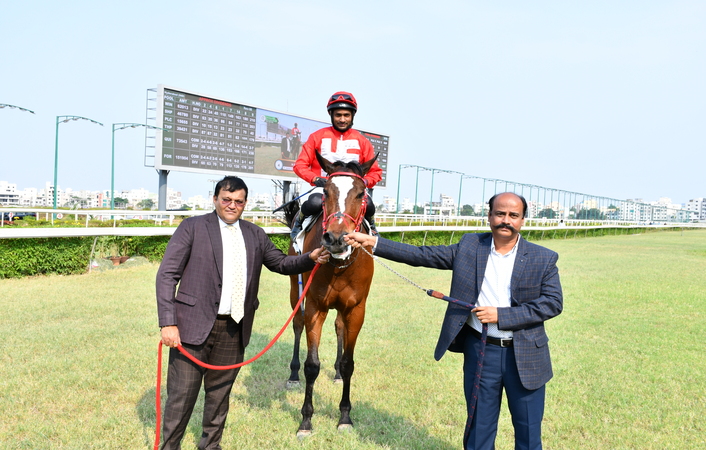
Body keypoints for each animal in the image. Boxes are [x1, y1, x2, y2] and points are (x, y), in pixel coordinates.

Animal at [285, 152, 377, 438]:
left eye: (360, 193)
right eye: (325, 191)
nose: (336, 238)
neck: (339, 265)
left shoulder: (356, 309)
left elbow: (349, 363)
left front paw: (345, 416)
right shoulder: (316, 305)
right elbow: (312, 364)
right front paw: (306, 420)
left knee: (339, 327)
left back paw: (335, 372)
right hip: (295, 287)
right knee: (297, 323)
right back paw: (293, 375)